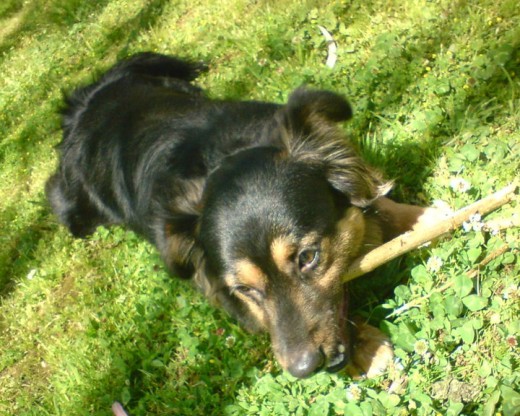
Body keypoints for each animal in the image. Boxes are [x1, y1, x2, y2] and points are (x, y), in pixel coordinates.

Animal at [45, 52, 434, 380]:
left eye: (307, 258)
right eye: (244, 289)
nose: (304, 369)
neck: (222, 155)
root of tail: (85, 104)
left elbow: (376, 201)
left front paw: (421, 218)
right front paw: (366, 350)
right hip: (74, 208)